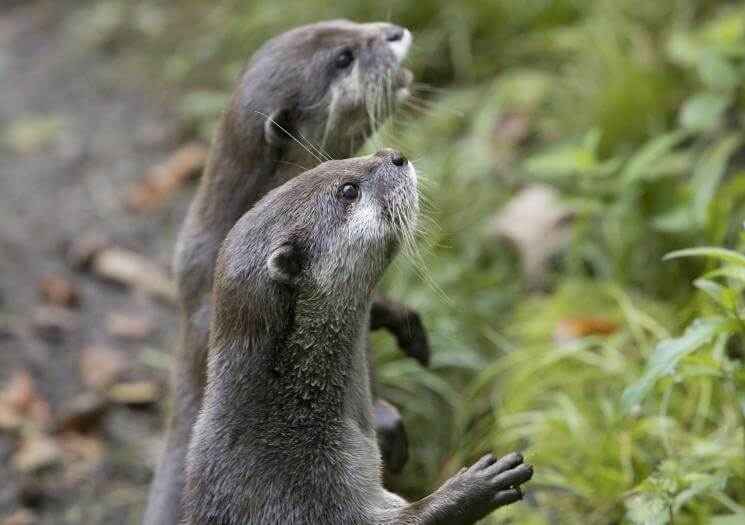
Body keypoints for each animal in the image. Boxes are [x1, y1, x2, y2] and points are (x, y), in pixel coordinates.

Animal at [186, 148, 536, 524]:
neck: (288, 420)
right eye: (348, 191)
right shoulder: (294, 494)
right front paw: (473, 488)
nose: (394, 155)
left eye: (327, 163)